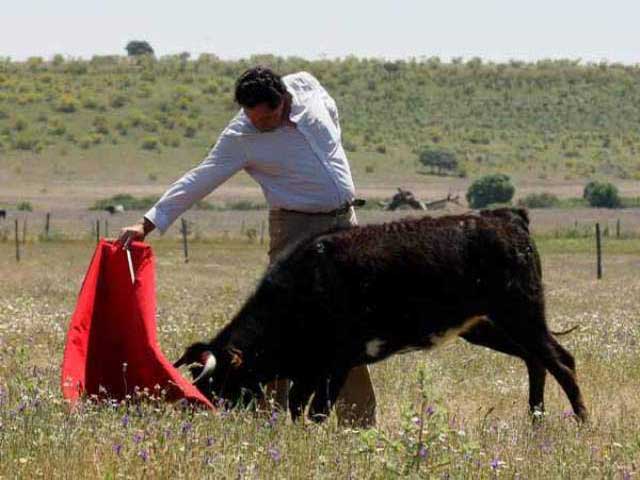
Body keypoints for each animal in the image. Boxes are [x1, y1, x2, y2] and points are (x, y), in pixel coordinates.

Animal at [174, 208, 584, 422]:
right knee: (536, 361)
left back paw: (581, 421)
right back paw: (535, 420)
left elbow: (318, 410)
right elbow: (298, 406)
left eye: (219, 381)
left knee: (561, 361)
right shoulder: (311, 368)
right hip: (489, 326)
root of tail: (505, 217)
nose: (200, 411)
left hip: (522, 314)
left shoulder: (336, 363)